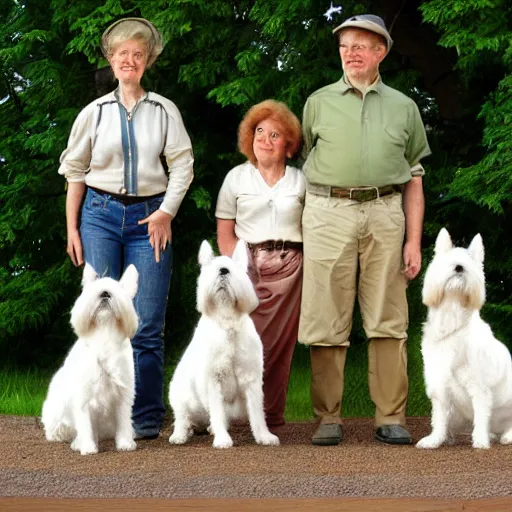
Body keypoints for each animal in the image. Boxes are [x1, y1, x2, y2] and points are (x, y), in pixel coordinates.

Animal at [41, 264, 139, 456]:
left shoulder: (123, 393)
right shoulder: (83, 397)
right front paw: (87, 447)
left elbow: (124, 421)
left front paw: (125, 443)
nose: (105, 293)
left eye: (118, 289)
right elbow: (85, 425)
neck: (104, 332)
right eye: (93, 288)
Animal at [168, 240, 280, 448]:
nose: (223, 271)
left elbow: (257, 413)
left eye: (235, 267)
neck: (227, 320)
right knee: (182, 418)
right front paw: (222, 440)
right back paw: (180, 435)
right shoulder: (214, 380)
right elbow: (218, 412)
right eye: (210, 266)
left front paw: (265, 437)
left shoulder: (251, 379)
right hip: (178, 394)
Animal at [416, 228, 512, 448]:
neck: (453, 318)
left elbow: (481, 416)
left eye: (468, 263)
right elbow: (439, 419)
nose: (459, 267)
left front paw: (480, 442)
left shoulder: (479, 387)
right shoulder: (440, 388)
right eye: (450, 261)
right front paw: (434, 440)